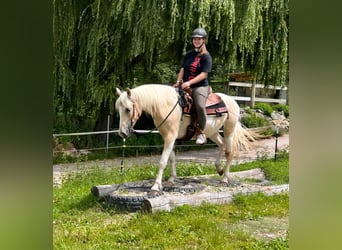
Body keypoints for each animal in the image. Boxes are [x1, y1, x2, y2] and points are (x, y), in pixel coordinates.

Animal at [115, 84, 262, 197]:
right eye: (119, 110)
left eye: (128, 109)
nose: (122, 133)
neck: (166, 105)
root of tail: (232, 101)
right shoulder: (168, 137)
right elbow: (172, 159)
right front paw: (171, 180)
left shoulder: (170, 136)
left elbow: (163, 161)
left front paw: (156, 187)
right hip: (212, 132)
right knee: (222, 145)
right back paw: (219, 168)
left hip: (229, 130)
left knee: (229, 152)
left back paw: (225, 179)